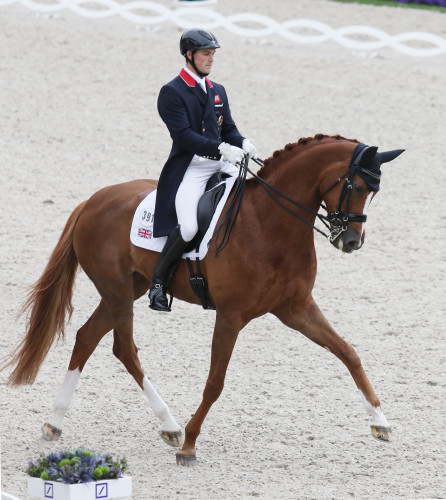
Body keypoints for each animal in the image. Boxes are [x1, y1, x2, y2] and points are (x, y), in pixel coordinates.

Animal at [0, 135, 404, 466]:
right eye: (356, 185)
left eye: (374, 191)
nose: (350, 242)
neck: (270, 224)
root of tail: (93, 200)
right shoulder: (231, 315)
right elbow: (215, 382)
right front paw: (190, 445)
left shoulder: (296, 308)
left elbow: (348, 352)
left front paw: (380, 421)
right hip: (117, 291)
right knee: (123, 347)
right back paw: (171, 425)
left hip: (129, 287)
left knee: (88, 338)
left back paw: (57, 422)